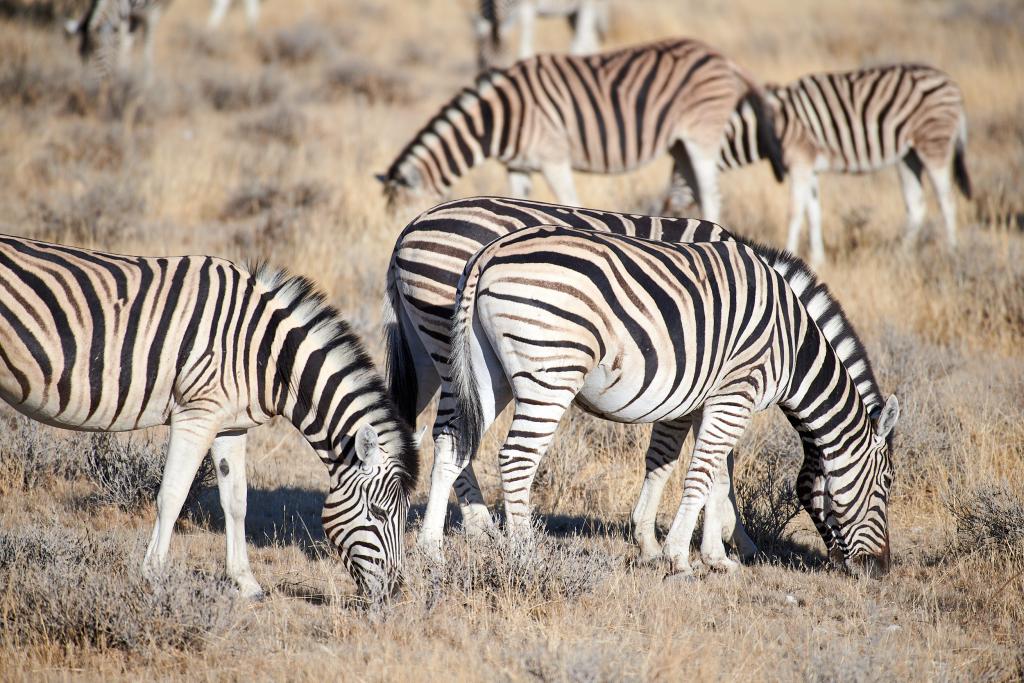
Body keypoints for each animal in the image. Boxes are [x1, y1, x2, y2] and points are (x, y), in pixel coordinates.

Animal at [0, 235, 417, 598]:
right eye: (379, 512)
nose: (394, 592)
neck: (266, 352)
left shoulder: (230, 424)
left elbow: (236, 500)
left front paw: (246, 583)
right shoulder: (196, 414)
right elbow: (172, 494)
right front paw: (153, 577)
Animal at [376, 36, 782, 224]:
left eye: (402, 215)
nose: (390, 247)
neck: (502, 117)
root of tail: (722, 57)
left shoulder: (554, 158)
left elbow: (569, 202)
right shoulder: (518, 166)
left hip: (702, 136)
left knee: (712, 194)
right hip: (679, 143)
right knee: (698, 191)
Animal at [385, 194, 880, 565]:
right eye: (883, 487)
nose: (880, 568)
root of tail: (409, 229)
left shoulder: (693, 389)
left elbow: (699, 466)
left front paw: (700, 544)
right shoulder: (704, 384)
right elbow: (701, 464)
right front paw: (724, 543)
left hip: (439, 355)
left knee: (444, 433)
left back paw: (445, 535)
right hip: (472, 351)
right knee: (484, 444)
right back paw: (499, 538)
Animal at [475, 0, 610, 68]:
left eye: (508, 61)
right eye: (484, 61)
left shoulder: (527, 7)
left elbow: (525, 47)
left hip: (588, 6)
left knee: (580, 43)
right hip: (572, 14)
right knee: (590, 42)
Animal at [712, 63, 966, 266]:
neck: (766, 127)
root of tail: (953, 85)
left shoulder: (800, 162)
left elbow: (795, 211)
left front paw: (789, 251)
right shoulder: (811, 168)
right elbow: (813, 212)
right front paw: (817, 259)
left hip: (934, 144)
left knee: (947, 200)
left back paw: (952, 252)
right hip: (908, 156)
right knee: (916, 205)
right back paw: (901, 255)